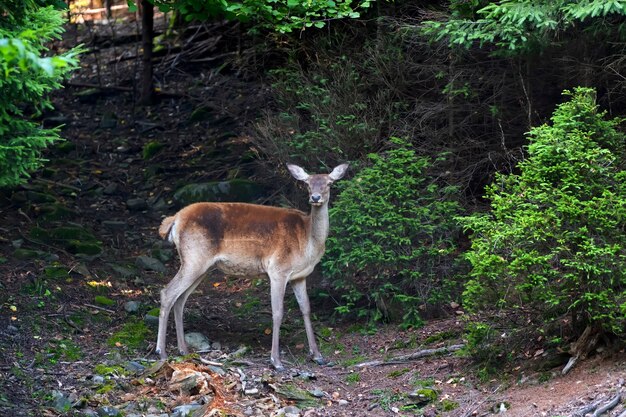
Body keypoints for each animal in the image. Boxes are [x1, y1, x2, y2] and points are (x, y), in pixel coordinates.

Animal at [155, 163, 348, 370]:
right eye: (307, 184)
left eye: (329, 183)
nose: (315, 197)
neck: (308, 243)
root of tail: (175, 219)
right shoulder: (278, 269)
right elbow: (277, 313)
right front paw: (276, 361)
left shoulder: (299, 276)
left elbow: (306, 309)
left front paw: (317, 355)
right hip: (194, 258)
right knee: (167, 293)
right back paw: (161, 352)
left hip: (201, 267)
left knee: (180, 299)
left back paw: (183, 349)